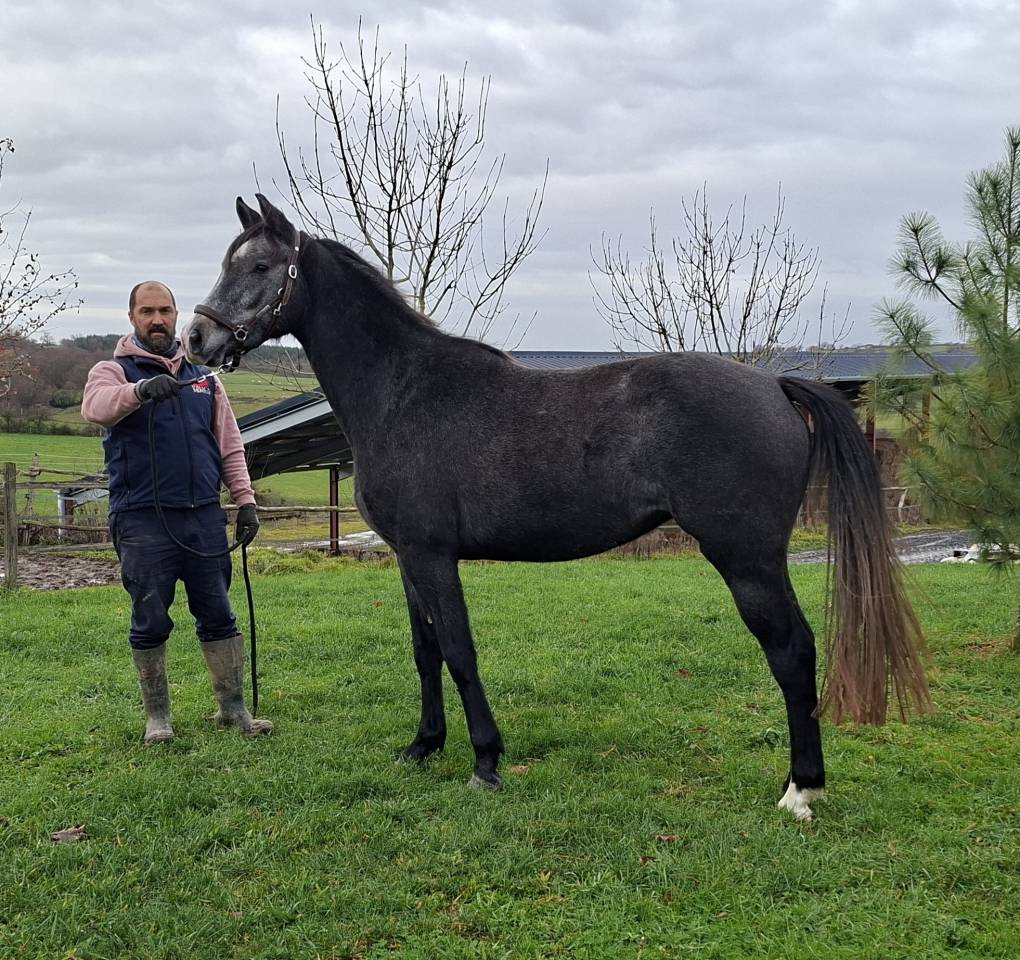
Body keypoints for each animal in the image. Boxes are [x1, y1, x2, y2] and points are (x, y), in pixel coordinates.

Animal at [185, 194, 931, 820]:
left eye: (259, 265)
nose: (196, 341)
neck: (403, 391)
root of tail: (775, 386)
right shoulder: (407, 558)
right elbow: (425, 653)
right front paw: (423, 746)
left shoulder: (433, 555)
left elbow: (459, 651)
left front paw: (486, 761)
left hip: (747, 559)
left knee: (792, 651)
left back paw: (800, 790)